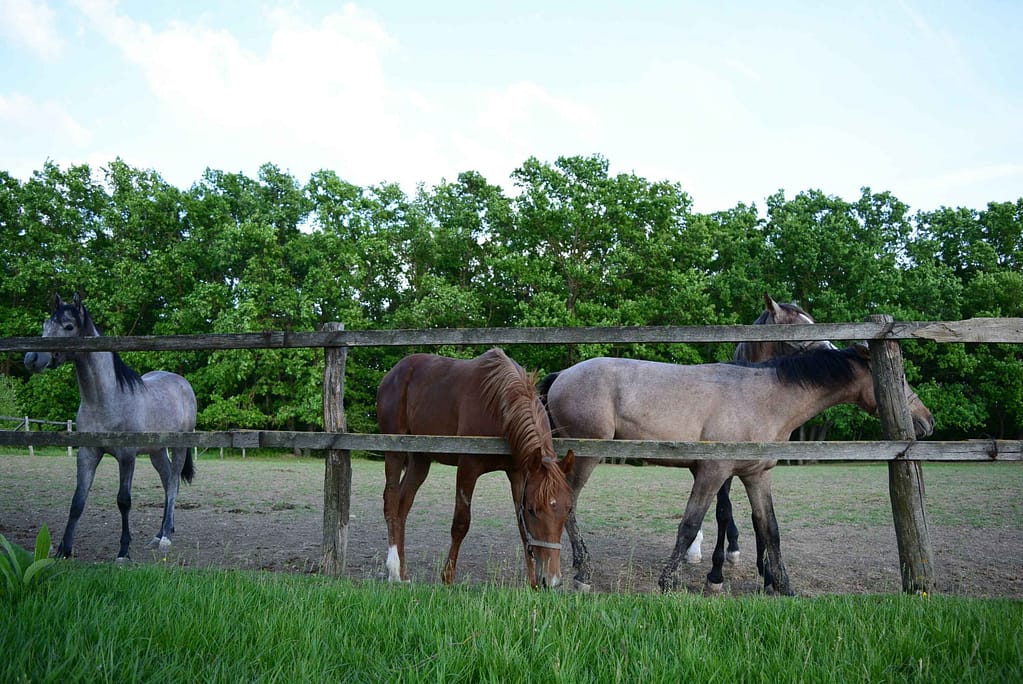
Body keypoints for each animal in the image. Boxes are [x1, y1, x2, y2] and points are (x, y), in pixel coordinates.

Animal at [24, 294, 197, 560]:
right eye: (45, 324)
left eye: (68, 326)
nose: (32, 359)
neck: (106, 399)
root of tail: (182, 382)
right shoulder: (87, 453)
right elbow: (77, 501)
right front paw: (64, 550)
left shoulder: (127, 456)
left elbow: (123, 501)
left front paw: (123, 551)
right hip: (156, 451)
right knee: (168, 480)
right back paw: (159, 534)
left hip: (179, 447)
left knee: (174, 483)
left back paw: (167, 537)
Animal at [380, 347, 581, 588]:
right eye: (533, 510)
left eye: (567, 509)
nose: (551, 580)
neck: (501, 405)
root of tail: (393, 373)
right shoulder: (468, 467)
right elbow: (460, 523)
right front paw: (447, 578)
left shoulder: (518, 474)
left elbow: (522, 529)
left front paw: (532, 584)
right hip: (394, 450)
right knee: (391, 501)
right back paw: (393, 570)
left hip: (420, 459)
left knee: (403, 505)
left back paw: (403, 574)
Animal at [548, 343, 932, 593]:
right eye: (899, 379)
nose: (926, 421)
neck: (763, 399)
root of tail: (562, 374)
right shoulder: (713, 473)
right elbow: (689, 525)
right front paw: (668, 581)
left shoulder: (755, 475)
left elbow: (770, 528)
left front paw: (783, 585)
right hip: (586, 456)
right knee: (567, 503)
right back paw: (582, 572)